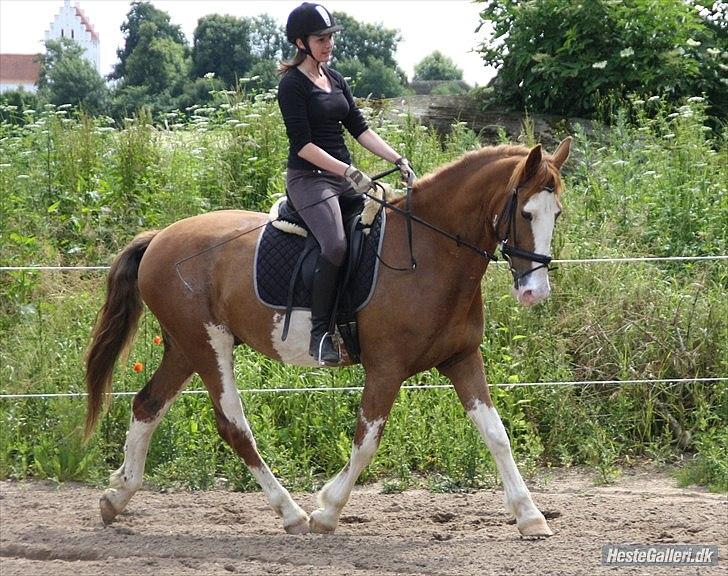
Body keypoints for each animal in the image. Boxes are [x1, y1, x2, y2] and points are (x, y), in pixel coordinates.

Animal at [84, 137, 576, 536]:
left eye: (557, 213)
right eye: (526, 212)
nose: (535, 292)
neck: (429, 254)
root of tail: (159, 237)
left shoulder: (461, 358)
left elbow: (496, 434)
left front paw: (530, 517)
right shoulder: (386, 368)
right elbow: (367, 442)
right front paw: (327, 510)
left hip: (185, 348)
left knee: (147, 405)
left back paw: (116, 497)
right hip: (209, 345)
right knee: (234, 427)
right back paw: (292, 514)